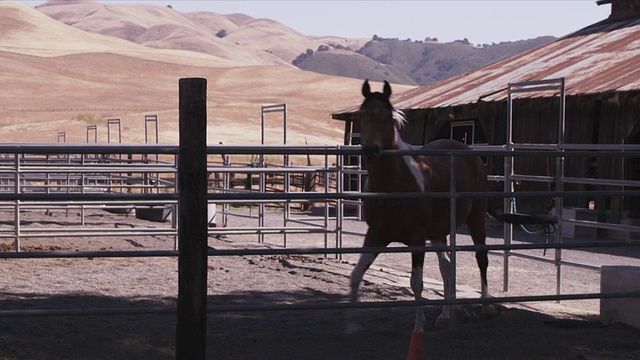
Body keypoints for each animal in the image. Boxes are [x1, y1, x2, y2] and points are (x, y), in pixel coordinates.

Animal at [348, 80, 552, 334]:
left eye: (388, 117)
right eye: (363, 115)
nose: (371, 150)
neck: (395, 183)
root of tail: (469, 153)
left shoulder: (417, 239)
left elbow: (416, 283)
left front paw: (418, 328)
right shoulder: (376, 235)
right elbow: (356, 275)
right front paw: (351, 325)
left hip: (474, 220)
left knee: (481, 258)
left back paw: (486, 307)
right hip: (438, 233)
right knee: (447, 267)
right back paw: (445, 316)